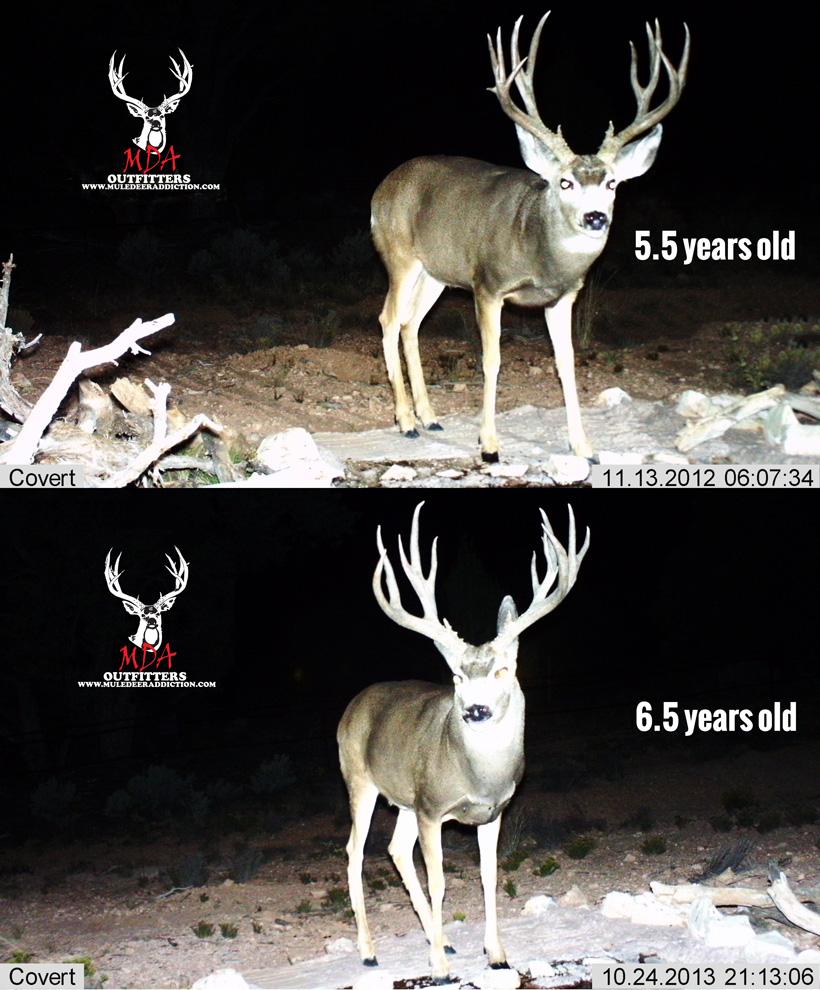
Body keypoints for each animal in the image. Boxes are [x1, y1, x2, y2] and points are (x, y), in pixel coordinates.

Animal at [337, 502, 589, 982]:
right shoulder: (433, 809)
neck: (479, 777)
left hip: (405, 799)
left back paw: (443, 940)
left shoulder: (493, 811)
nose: (475, 710)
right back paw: (370, 950)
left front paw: (496, 953)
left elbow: (489, 875)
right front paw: (437, 966)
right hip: (360, 780)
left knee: (395, 849)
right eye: (456, 676)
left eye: (503, 670)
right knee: (355, 852)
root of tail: (352, 705)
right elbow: (439, 880)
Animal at [371, 12, 689, 462]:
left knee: (411, 324)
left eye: (611, 183)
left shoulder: (562, 298)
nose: (595, 217)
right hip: (399, 255)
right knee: (389, 318)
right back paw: (406, 421)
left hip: (437, 273)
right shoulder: (487, 285)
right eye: (564, 182)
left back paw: (429, 416)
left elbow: (566, 362)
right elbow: (492, 359)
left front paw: (584, 446)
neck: (540, 256)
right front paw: (489, 444)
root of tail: (380, 190)